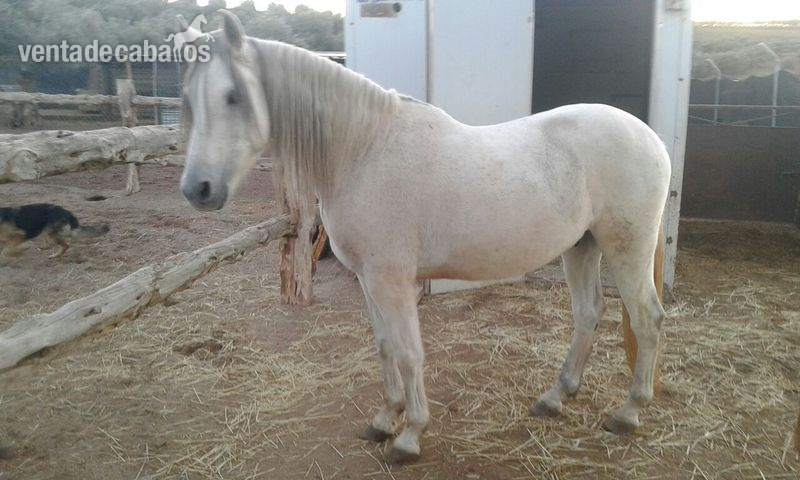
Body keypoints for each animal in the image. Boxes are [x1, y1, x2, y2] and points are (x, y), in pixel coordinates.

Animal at [179, 11, 671, 464]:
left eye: (233, 96)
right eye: (189, 99)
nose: (197, 189)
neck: (363, 150)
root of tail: (651, 137)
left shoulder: (392, 281)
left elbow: (409, 352)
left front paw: (410, 435)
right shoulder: (368, 280)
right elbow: (384, 347)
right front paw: (384, 419)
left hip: (626, 249)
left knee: (647, 318)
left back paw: (628, 413)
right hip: (582, 247)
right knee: (588, 313)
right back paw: (555, 397)